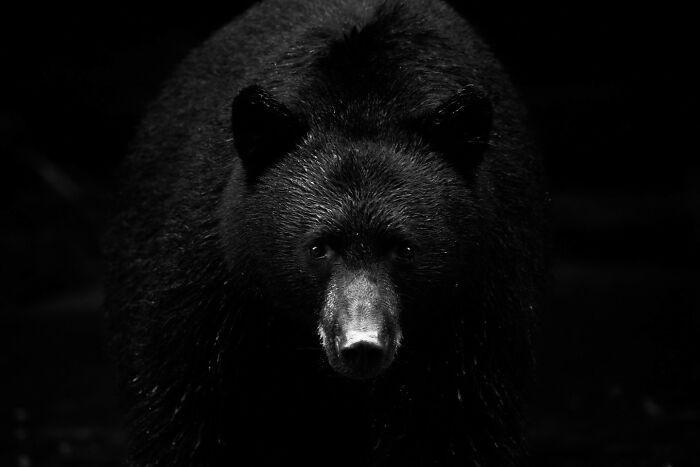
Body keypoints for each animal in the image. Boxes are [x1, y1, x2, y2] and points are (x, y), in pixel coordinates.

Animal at [104, 0, 544, 465]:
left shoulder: (476, 313)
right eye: (318, 247)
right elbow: (187, 415)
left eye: (404, 248)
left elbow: (460, 427)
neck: (362, 100)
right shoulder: (211, 292)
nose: (362, 345)